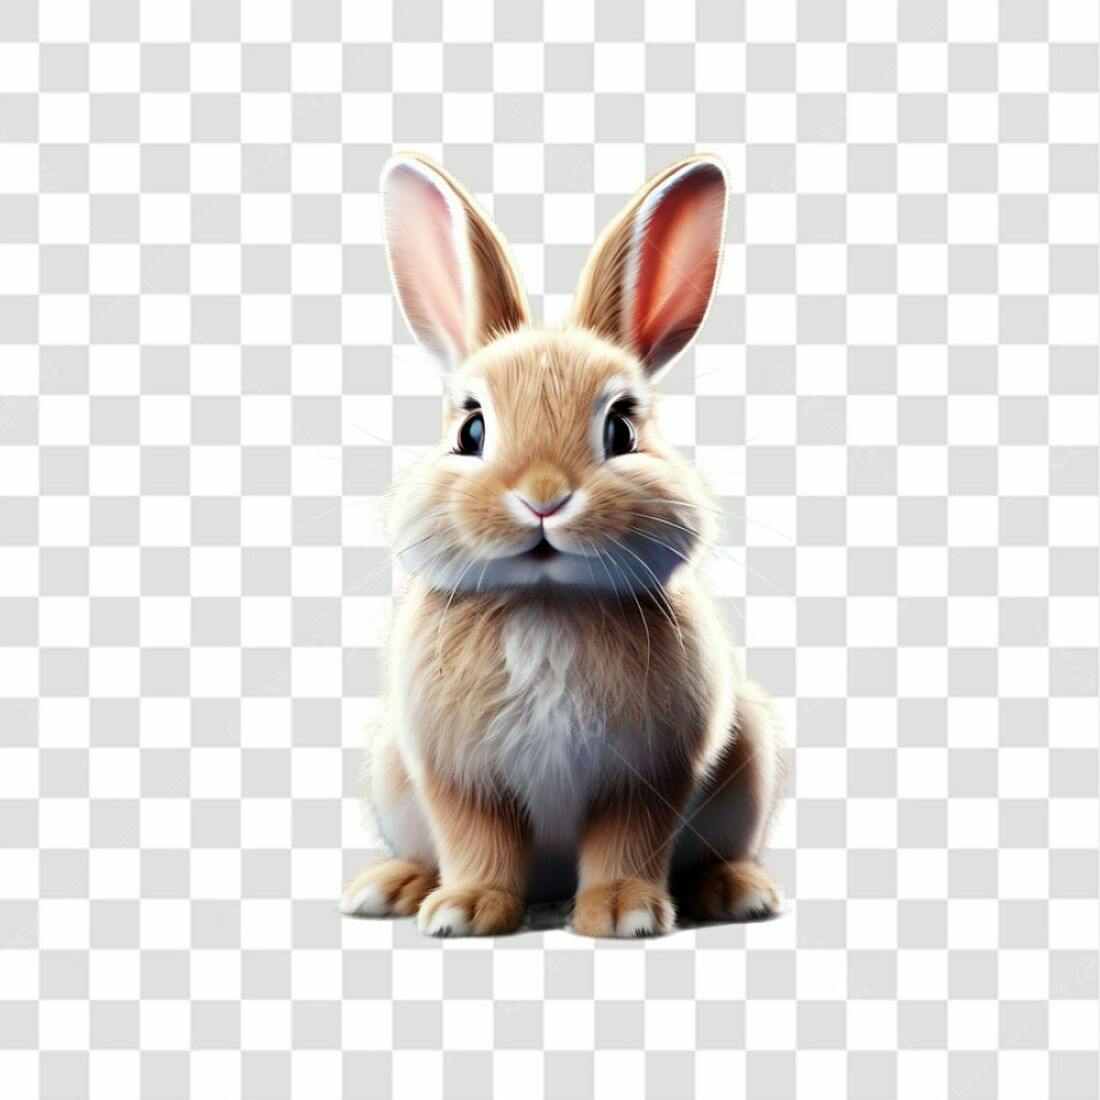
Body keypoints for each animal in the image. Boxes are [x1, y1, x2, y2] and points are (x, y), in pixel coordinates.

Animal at [340, 152, 786, 937]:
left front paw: (622, 914)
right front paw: (464, 911)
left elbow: (626, 841)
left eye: (622, 429)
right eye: (471, 430)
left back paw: (736, 891)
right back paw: (394, 888)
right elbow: (477, 840)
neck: (545, 604)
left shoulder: (649, 775)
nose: (543, 496)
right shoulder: (456, 775)